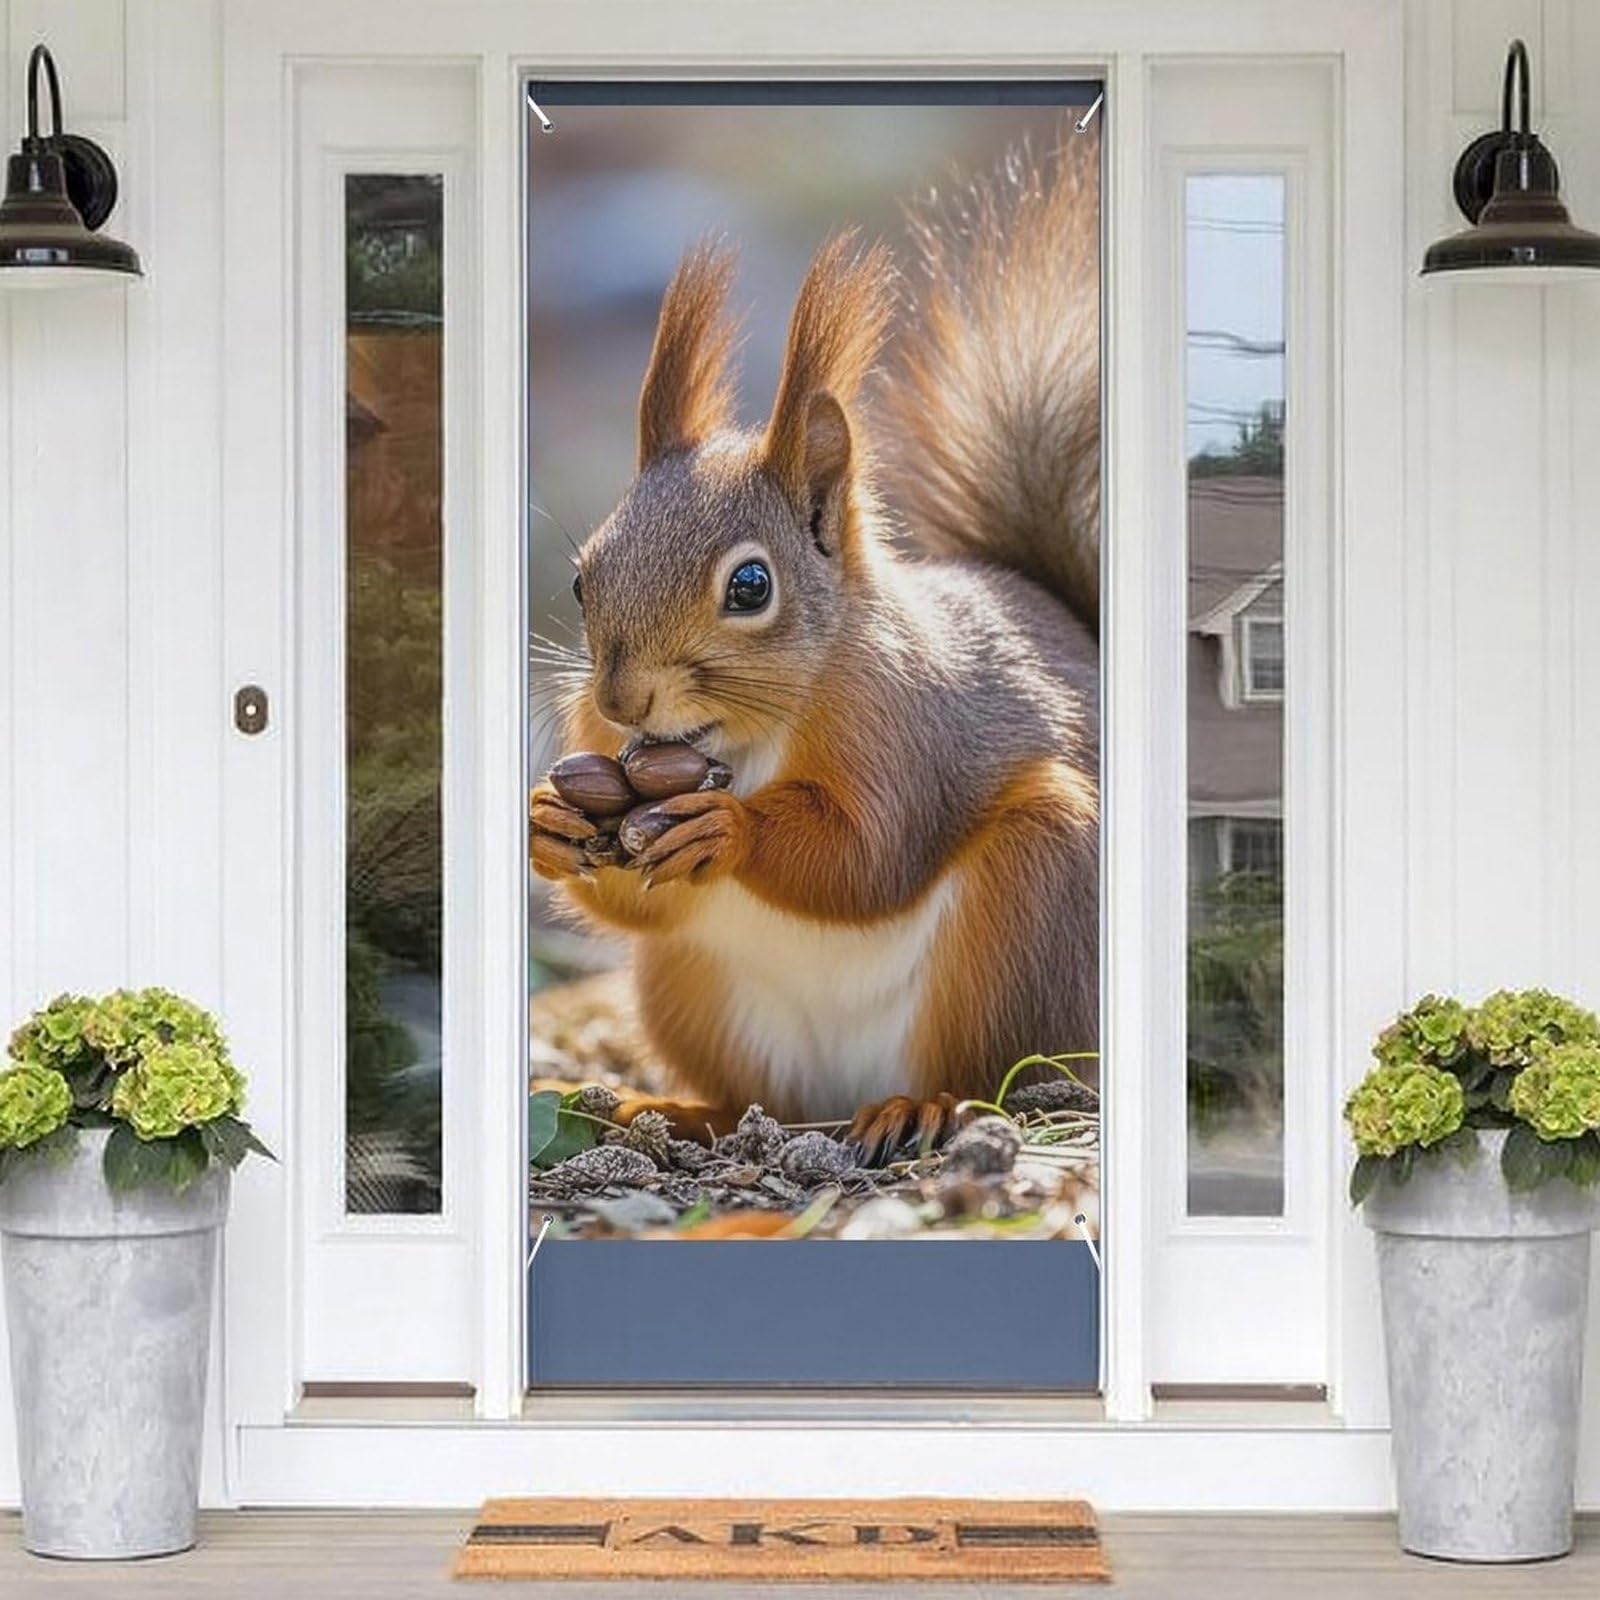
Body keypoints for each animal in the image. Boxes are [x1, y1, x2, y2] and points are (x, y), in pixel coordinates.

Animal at [530, 134, 1100, 1162]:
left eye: (751, 587)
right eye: (584, 577)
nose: (622, 703)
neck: (743, 742)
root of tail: (842, 1092)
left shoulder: (909, 728)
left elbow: (871, 857)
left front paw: (732, 830)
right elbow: (638, 895)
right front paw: (546, 819)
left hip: (1032, 902)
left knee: (990, 1074)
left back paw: (919, 1106)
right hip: (690, 988)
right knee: (753, 1092)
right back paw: (668, 1109)